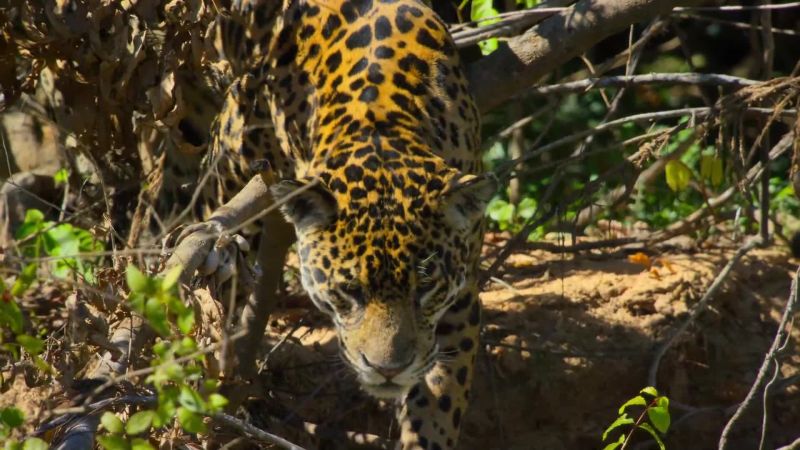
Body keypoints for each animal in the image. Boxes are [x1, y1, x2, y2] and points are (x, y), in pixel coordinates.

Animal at [178, 1, 496, 448]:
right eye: (350, 291)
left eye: (426, 287)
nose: (388, 369)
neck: (382, 121)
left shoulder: (461, 300)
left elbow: (437, 406)